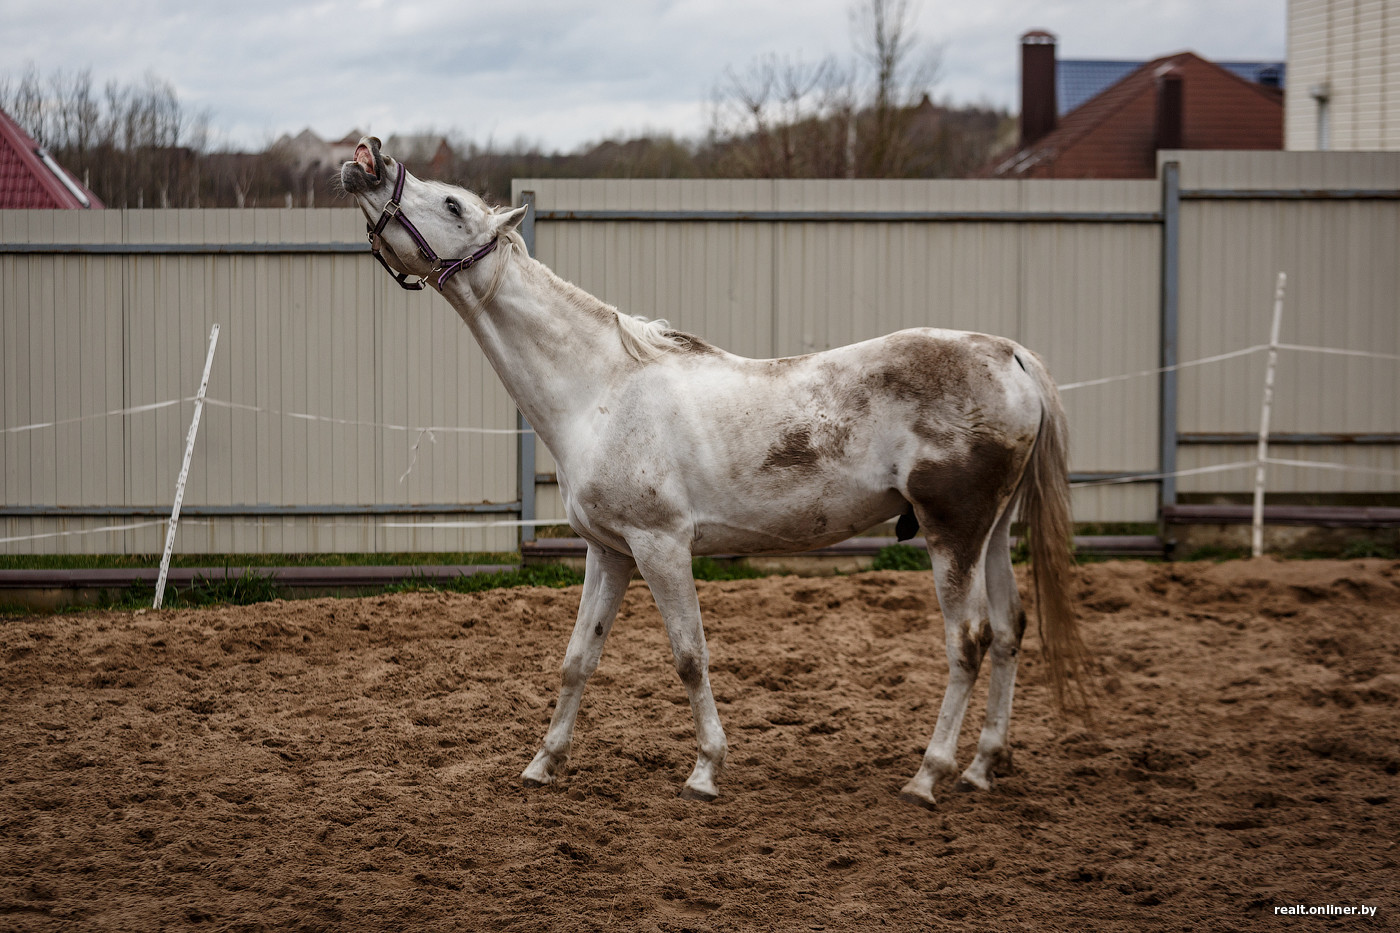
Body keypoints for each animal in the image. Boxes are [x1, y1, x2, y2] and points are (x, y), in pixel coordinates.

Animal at [341, 137, 1092, 806]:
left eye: (452, 204)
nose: (367, 157)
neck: (602, 388)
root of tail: (1010, 353)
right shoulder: (609, 552)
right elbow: (579, 657)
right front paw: (543, 763)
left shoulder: (661, 546)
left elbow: (689, 656)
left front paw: (705, 770)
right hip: (991, 533)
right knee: (1008, 630)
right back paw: (982, 767)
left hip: (952, 535)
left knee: (967, 642)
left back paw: (928, 777)